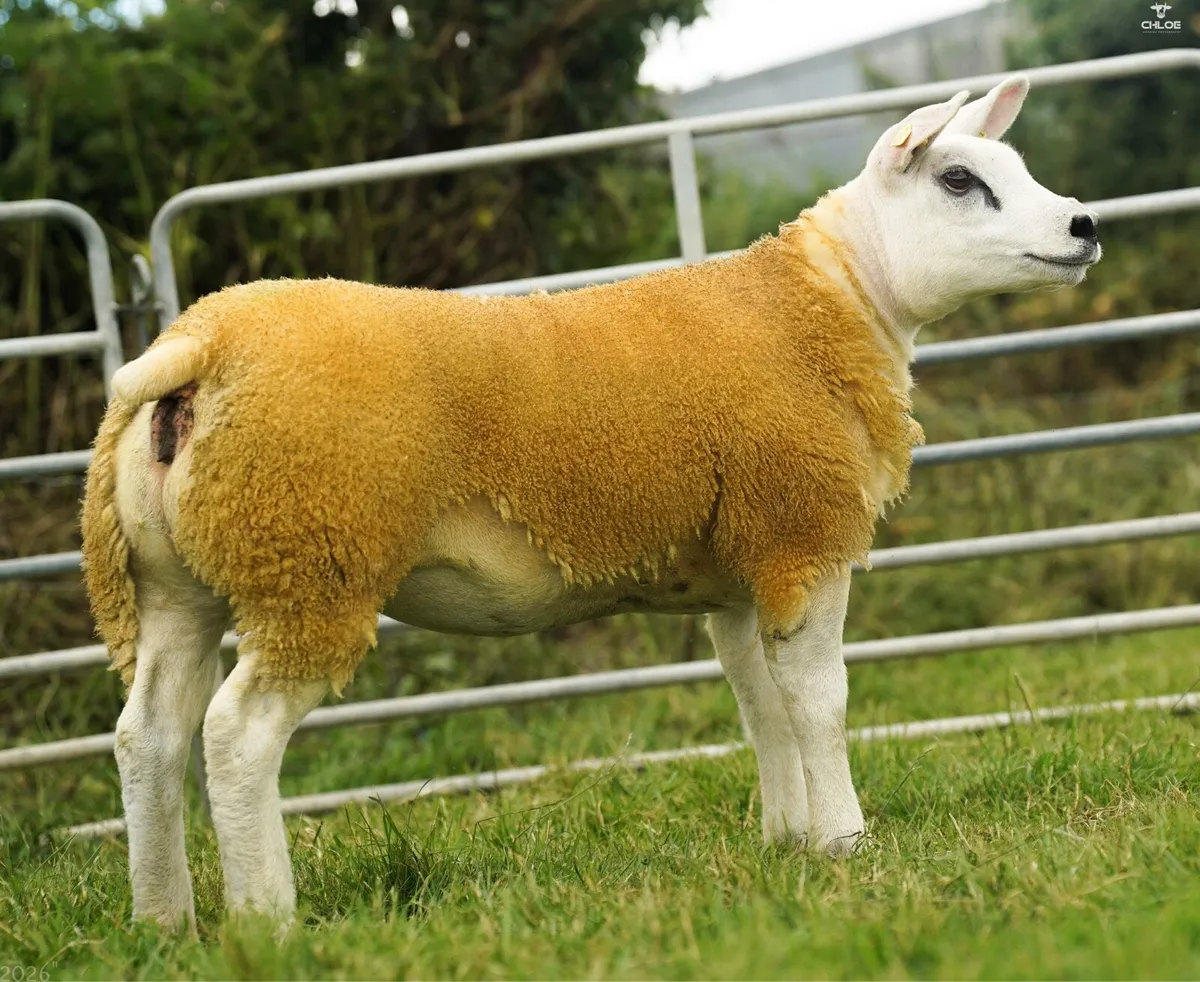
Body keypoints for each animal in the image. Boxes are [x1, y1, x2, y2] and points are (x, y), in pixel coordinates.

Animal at [80, 76, 1100, 929]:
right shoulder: (801, 534)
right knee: (236, 735)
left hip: (178, 582)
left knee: (148, 737)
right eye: (960, 181)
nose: (1085, 223)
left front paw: (787, 841)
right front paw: (847, 843)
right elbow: (820, 703)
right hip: (309, 559)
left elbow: (757, 703)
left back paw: (164, 921)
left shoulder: (740, 568)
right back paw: (268, 921)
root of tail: (199, 346)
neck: (831, 304)